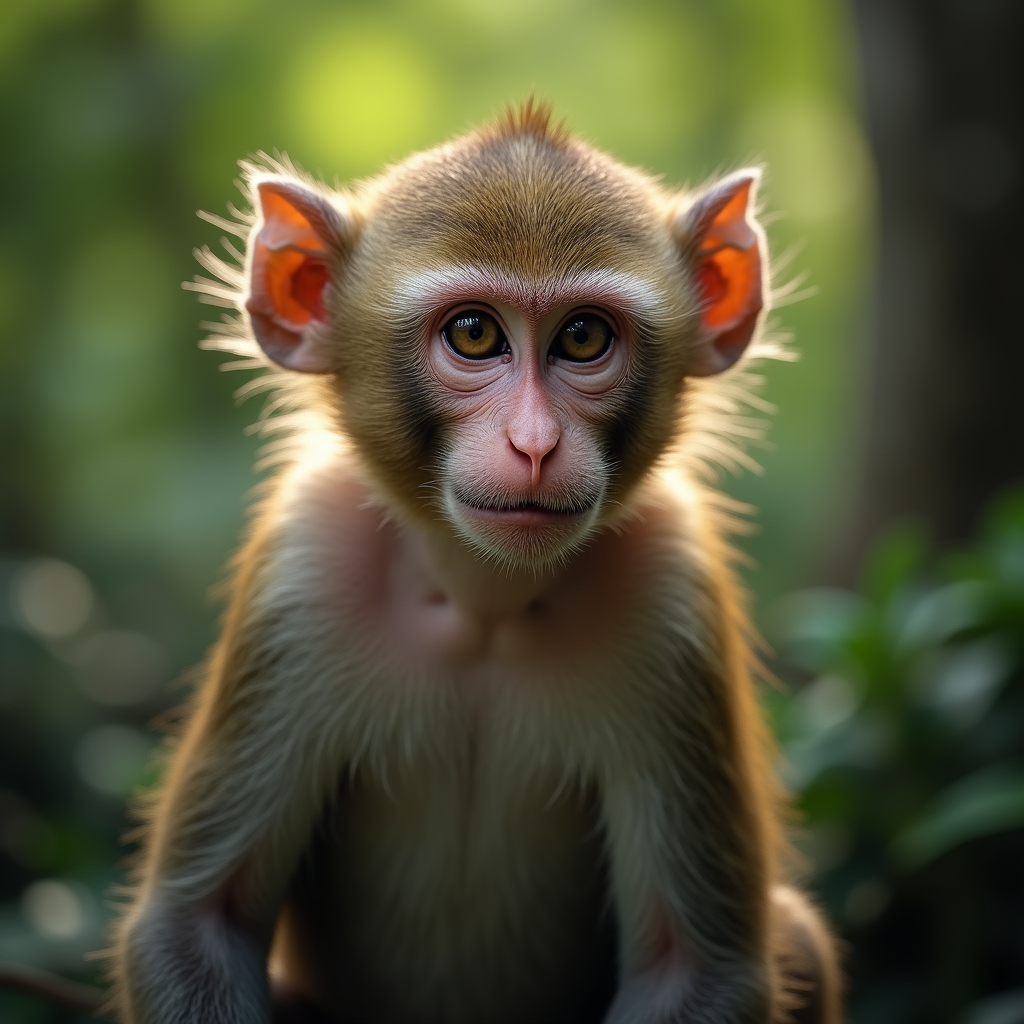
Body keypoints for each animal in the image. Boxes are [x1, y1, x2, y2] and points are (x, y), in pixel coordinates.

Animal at [111, 101, 842, 1024]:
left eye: (583, 337)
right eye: (474, 333)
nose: (533, 445)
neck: (486, 602)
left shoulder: (673, 592)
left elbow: (699, 966)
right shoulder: (304, 562)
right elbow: (197, 921)